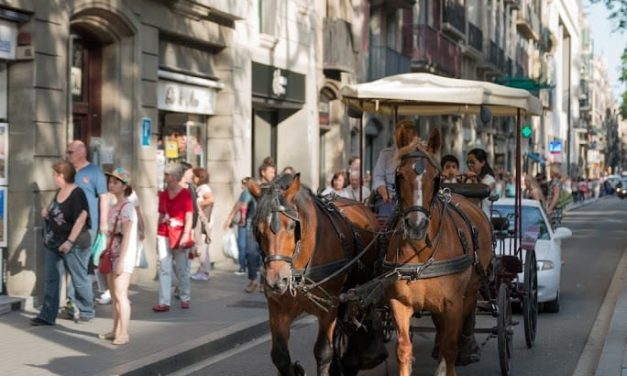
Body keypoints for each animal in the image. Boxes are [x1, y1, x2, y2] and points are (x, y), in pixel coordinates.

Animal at [244, 175, 382, 376]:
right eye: (257, 228)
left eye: (292, 226)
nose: (276, 281)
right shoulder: (278, 309)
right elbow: (280, 357)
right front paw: (295, 369)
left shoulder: (329, 307)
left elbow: (323, 352)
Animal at [388, 128, 496, 374]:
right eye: (399, 176)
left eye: (435, 178)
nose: (416, 225)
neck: (421, 253)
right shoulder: (400, 302)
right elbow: (404, 349)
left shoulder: (453, 302)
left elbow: (450, 347)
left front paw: (450, 363)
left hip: (472, 289)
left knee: (464, 321)